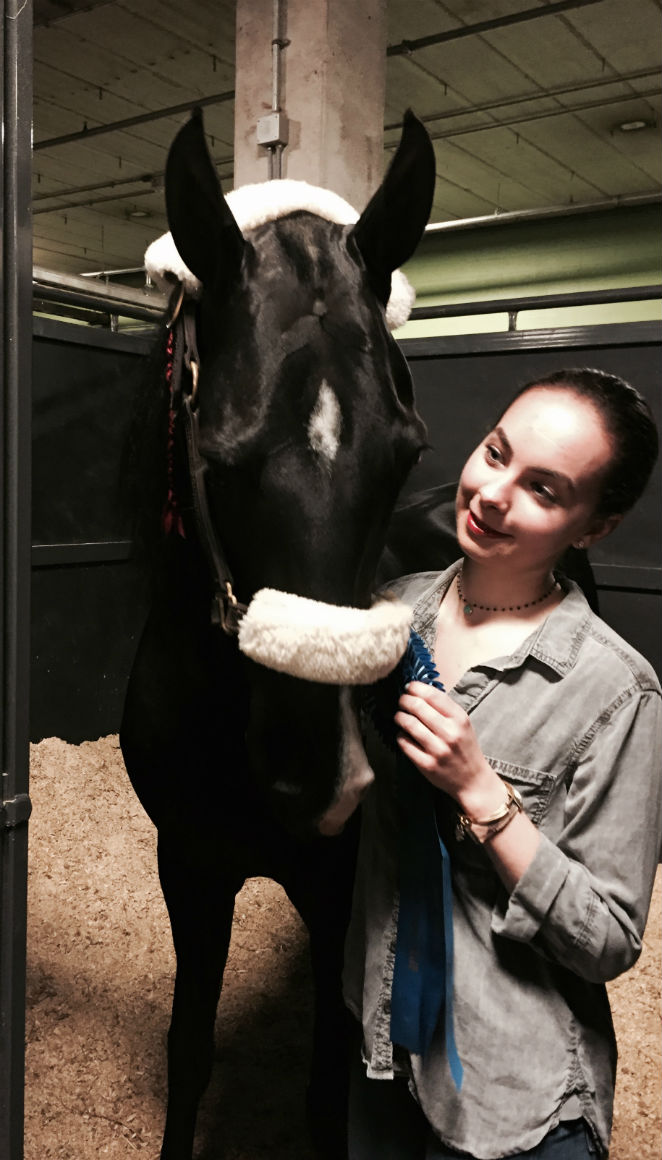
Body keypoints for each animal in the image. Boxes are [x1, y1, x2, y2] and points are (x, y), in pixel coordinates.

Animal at [121, 110, 438, 1160]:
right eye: (216, 456)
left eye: (404, 449)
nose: (324, 779)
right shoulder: (191, 867)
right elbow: (190, 1051)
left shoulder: (336, 882)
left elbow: (325, 1088)